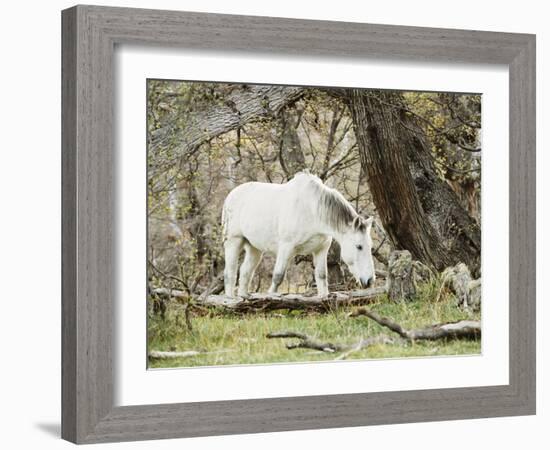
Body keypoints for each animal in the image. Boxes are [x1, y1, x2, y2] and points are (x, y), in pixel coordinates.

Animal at [222, 174, 378, 298]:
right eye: (359, 246)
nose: (370, 280)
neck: (312, 210)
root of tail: (231, 195)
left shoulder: (321, 249)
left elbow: (322, 276)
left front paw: (323, 298)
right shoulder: (286, 247)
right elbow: (278, 276)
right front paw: (271, 296)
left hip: (254, 248)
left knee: (245, 272)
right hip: (234, 241)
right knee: (230, 272)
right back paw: (230, 299)